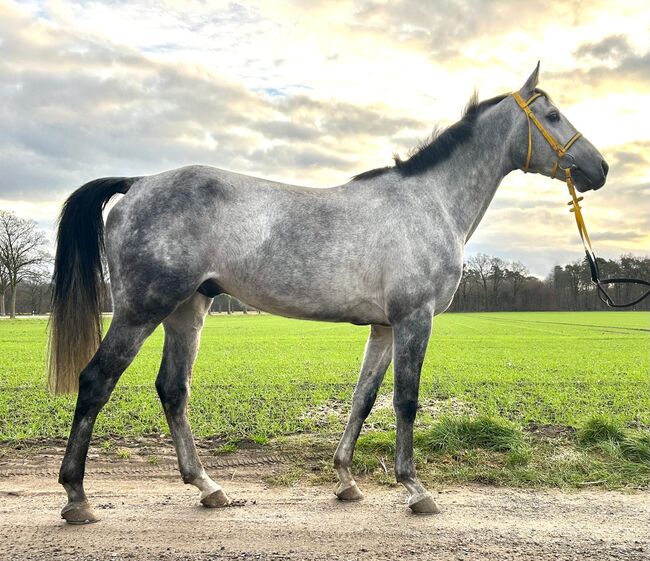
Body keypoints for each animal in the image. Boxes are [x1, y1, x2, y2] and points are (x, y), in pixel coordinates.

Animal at [48, 63, 608, 523]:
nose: (600, 169)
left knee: (173, 388)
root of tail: (138, 183)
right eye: (553, 115)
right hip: (141, 310)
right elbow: (405, 400)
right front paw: (415, 489)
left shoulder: (384, 327)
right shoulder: (414, 318)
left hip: (188, 309)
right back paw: (77, 498)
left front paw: (346, 481)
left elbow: (364, 398)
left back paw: (207, 487)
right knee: (96, 381)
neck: (430, 202)